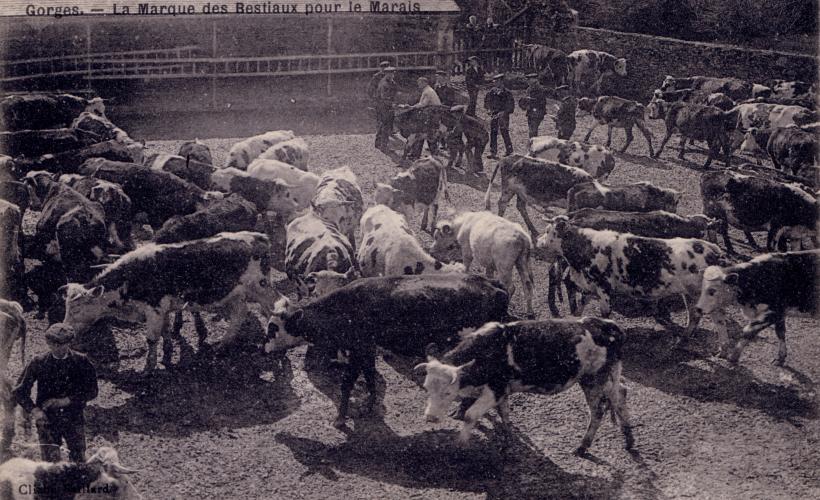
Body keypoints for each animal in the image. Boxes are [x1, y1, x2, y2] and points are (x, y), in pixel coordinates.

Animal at [262, 274, 510, 430]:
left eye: (273, 328)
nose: (262, 348)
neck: (343, 309)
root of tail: (492, 282)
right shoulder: (367, 350)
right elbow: (370, 376)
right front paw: (368, 404)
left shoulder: (358, 350)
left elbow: (347, 383)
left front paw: (340, 419)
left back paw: (462, 410)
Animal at [416, 318, 636, 456]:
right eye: (426, 388)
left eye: (448, 392)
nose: (430, 417)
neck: (490, 351)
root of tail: (607, 325)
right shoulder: (502, 393)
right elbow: (504, 415)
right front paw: (508, 439)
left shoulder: (495, 390)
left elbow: (471, 415)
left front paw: (460, 445)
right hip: (596, 378)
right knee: (617, 397)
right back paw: (624, 439)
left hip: (599, 378)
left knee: (604, 407)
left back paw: (586, 446)